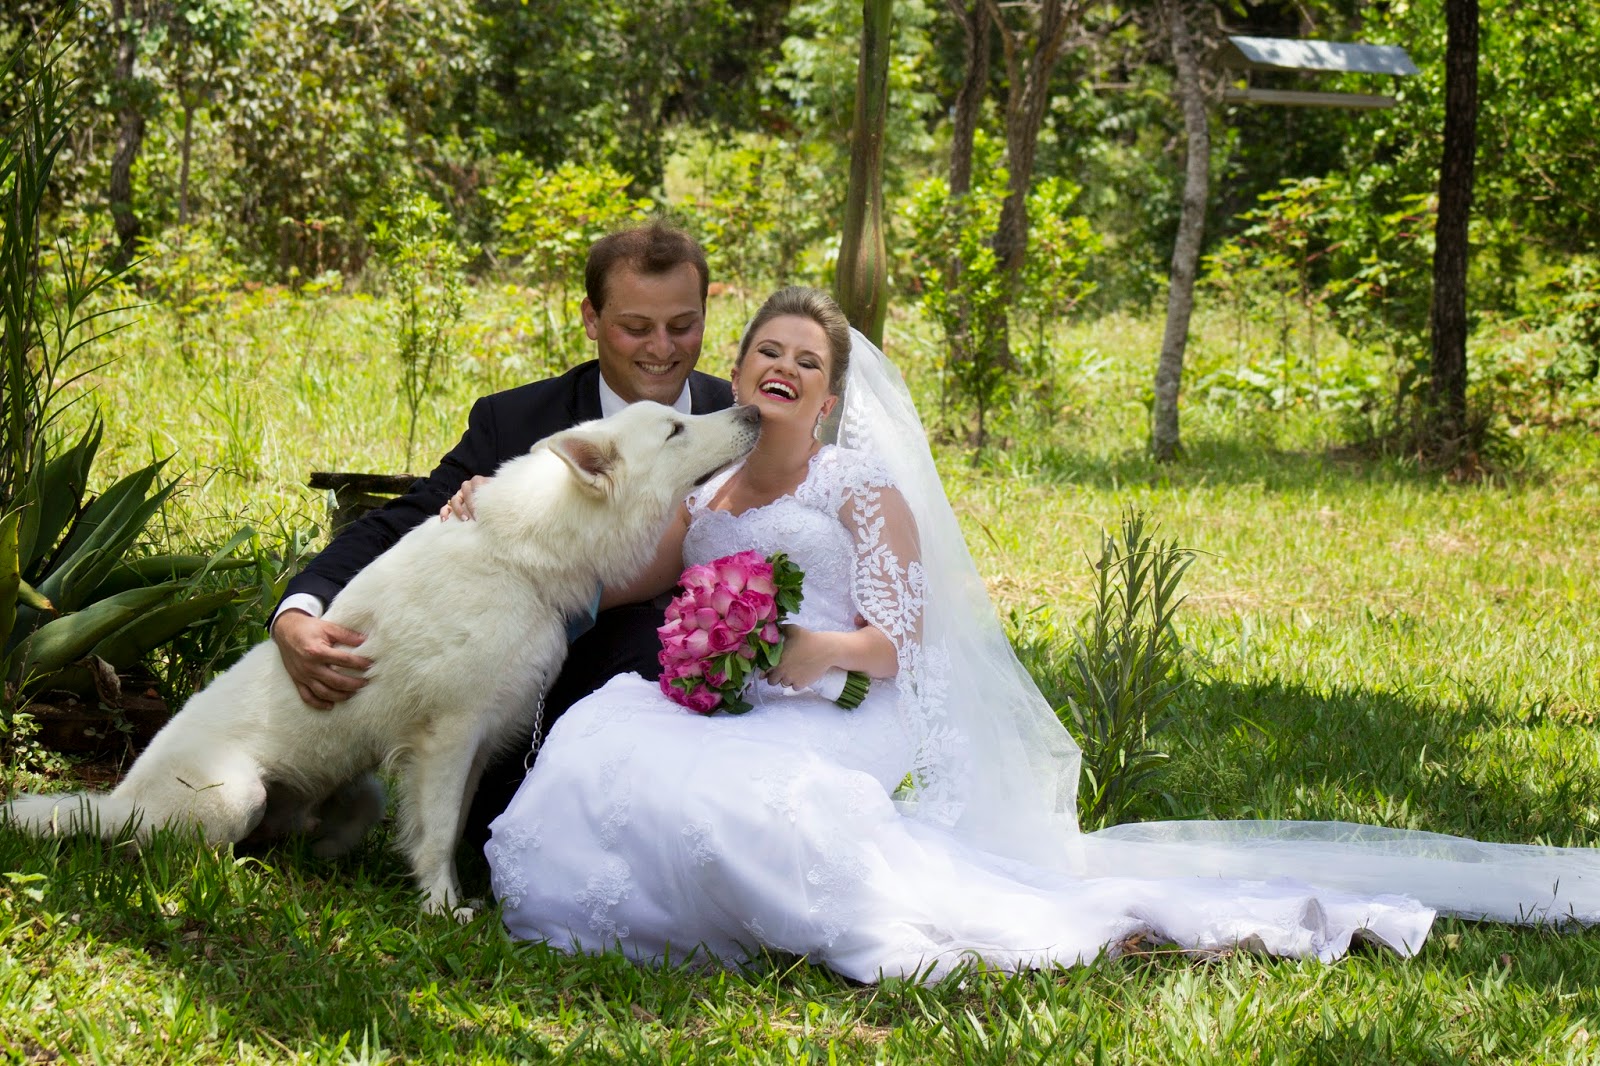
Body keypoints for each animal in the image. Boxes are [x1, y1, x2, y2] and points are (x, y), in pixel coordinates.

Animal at [4, 401, 760, 917]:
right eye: (675, 430)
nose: (753, 409)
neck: (519, 559)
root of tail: (118, 801)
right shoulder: (451, 735)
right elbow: (441, 833)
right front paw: (443, 908)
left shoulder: (469, 745)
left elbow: (441, 825)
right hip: (234, 795)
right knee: (167, 851)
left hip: (352, 786)